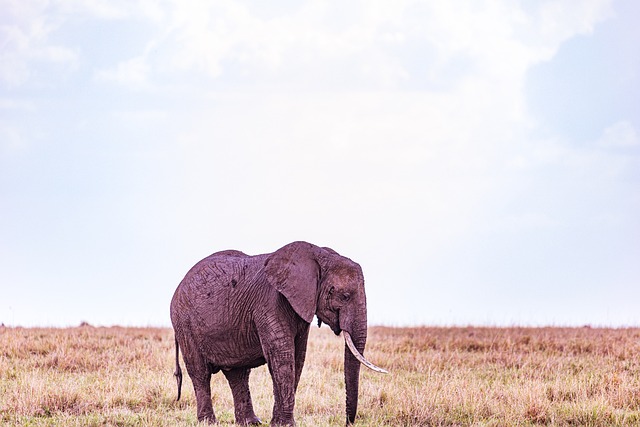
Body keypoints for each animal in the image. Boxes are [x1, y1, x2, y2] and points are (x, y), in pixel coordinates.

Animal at [168, 242, 384, 426]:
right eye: (344, 296)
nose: (347, 422)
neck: (318, 255)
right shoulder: (269, 304)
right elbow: (282, 357)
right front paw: (286, 424)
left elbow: (297, 357)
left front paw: (278, 423)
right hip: (184, 323)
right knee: (200, 373)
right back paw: (209, 422)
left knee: (238, 374)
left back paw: (251, 422)